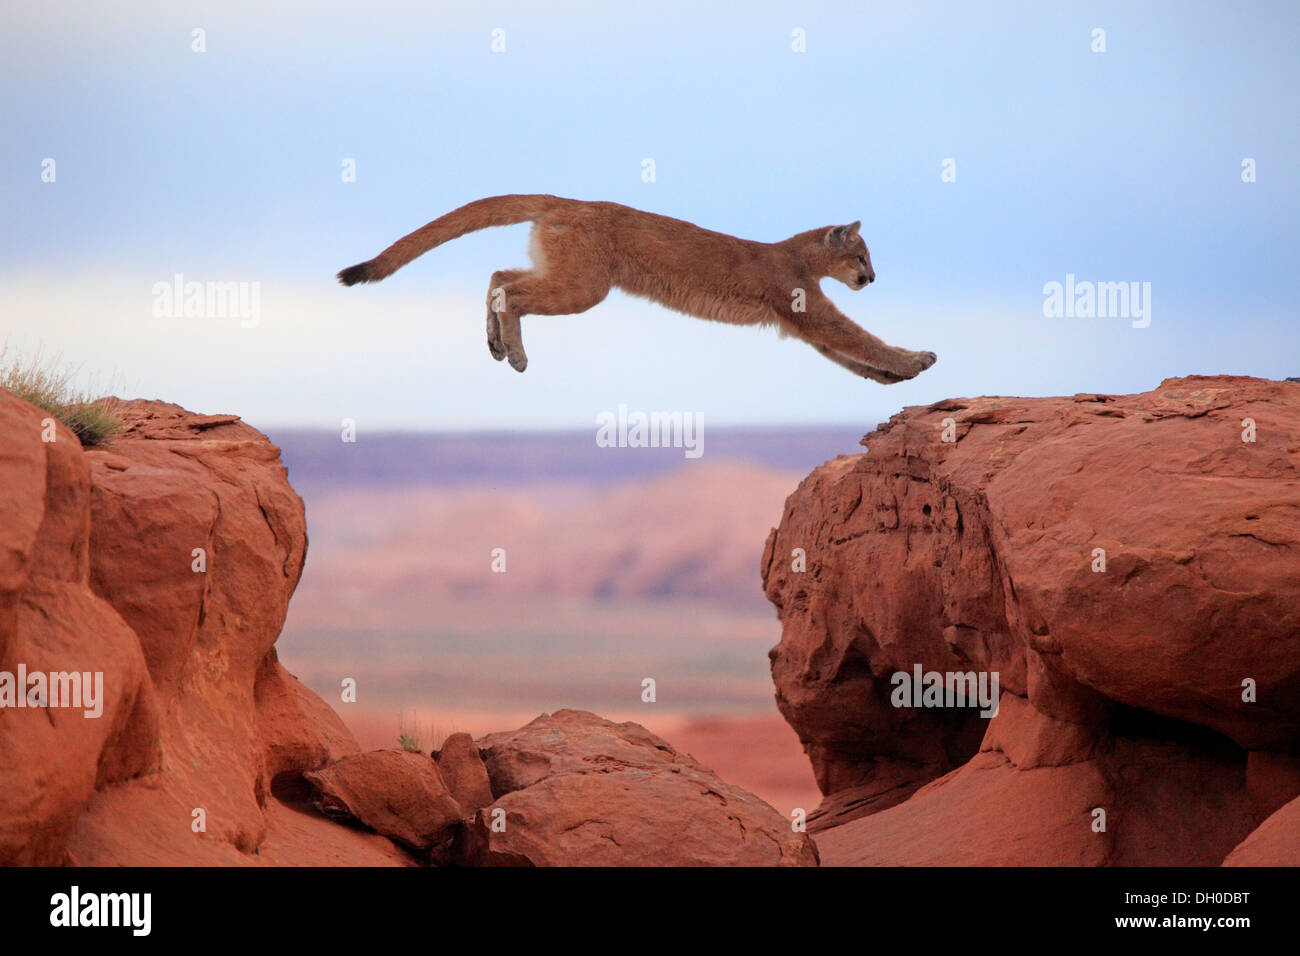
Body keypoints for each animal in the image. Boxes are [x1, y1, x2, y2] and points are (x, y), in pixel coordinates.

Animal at [340, 192, 941, 382]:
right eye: (862, 255)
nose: (872, 277)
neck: (799, 255)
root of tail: (566, 201)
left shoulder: (802, 324)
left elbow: (852, 356)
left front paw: (897, 377)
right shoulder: (807, 310)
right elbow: (858, 337)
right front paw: (916, 359)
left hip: (569, 276)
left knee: (498, 276)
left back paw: (495, 344)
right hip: (585, 286)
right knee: (511, 290)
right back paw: (516, 353)